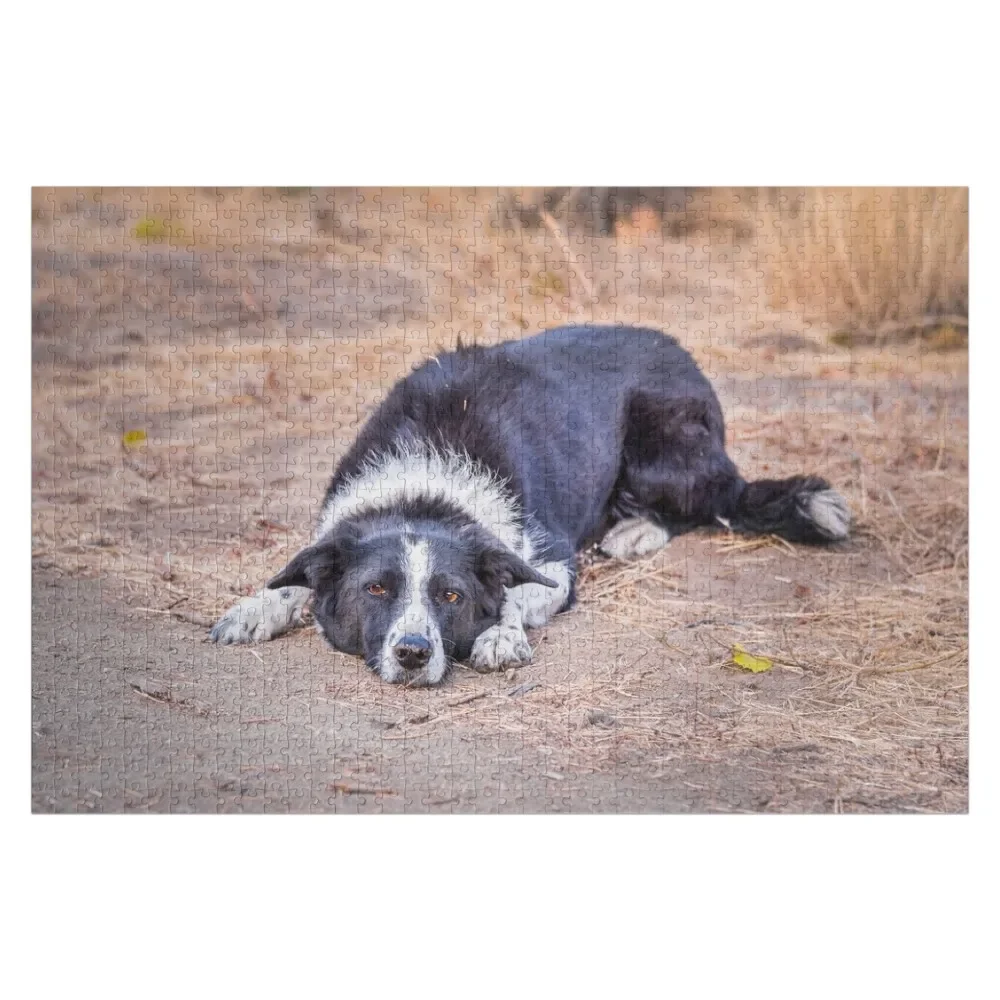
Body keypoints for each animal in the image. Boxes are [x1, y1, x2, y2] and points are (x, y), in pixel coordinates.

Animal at [211, 324, 852, 684]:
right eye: (375, 590)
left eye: (451, 596)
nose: (414, 654)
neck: (426, 486)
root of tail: (682, 351)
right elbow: (293, 576)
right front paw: (255, 607)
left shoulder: (553, 558)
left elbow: (518, 592)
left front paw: (501, 636)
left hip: (665, 453)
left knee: (711, 501)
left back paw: (636, 531)